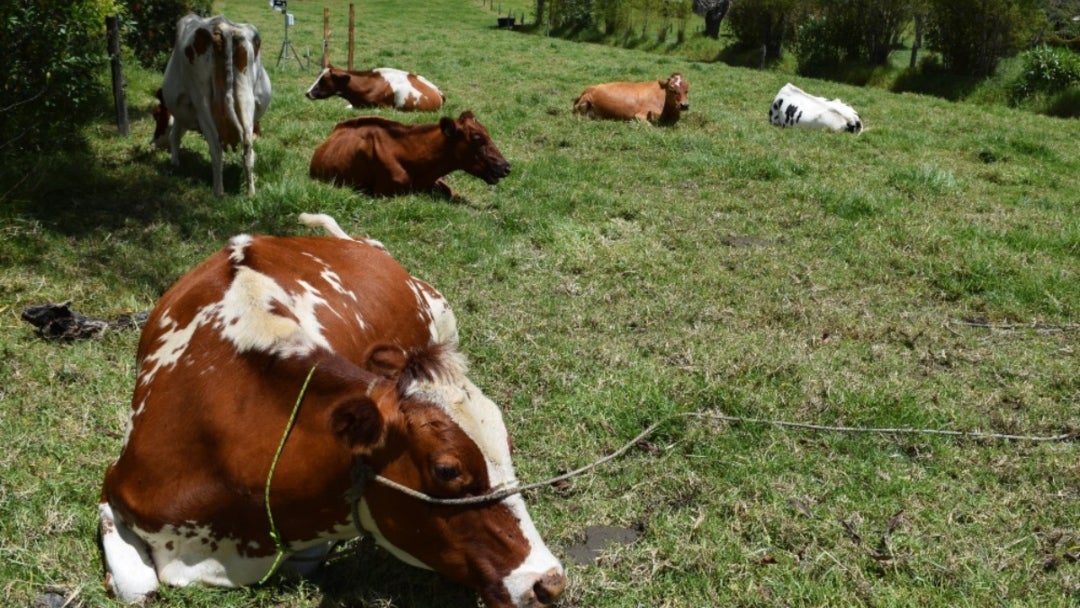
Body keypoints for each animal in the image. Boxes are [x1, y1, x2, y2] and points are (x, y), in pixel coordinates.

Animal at [155, 13, 274, 195]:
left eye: (157, 115)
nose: (152, 144)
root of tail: (223, 27)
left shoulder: (181, 116)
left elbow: (174, 136)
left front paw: (175, 163)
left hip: (202, 101)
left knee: (216, 148)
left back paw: (218, 192)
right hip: (245, 96)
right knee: (247, 147)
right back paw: (250, 192)